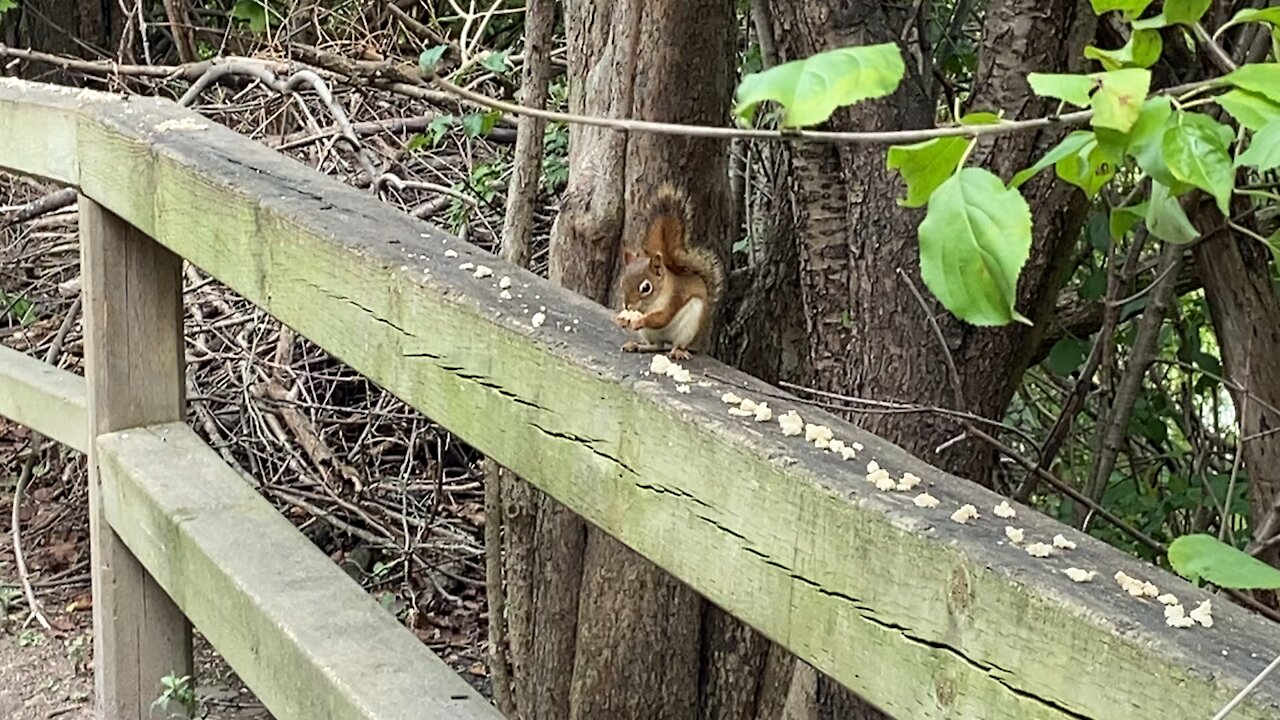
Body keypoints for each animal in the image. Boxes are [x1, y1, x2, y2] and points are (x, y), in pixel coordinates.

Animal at [614, 181, 727, 356]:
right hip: (649, 334)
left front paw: (640, 320)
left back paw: (677, 352)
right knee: (657, 346)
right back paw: (636, 345)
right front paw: (622, 320)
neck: (649, 305)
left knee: (676, 344)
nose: (627, 305)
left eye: (646, 288)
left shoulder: (675, 298)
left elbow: (662, 318)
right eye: (622, 283)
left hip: (688, 328)